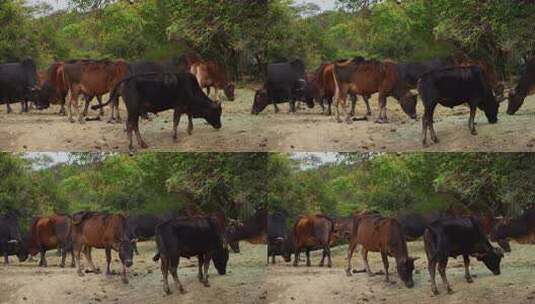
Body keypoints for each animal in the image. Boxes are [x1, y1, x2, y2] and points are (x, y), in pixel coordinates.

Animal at [93, 71, 223, 152]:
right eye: (216, 112)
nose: (219, 126)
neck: (191, 88)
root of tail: (125, 81)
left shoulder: (185, 107)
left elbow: (189, 116)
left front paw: (189, 130)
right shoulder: (178, 107)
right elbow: (176, 121)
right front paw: (175, 137)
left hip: (136, 111)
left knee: (134, 125)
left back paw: (142, 144)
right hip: (133, 109)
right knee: (130, 124)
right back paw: (131, 146)